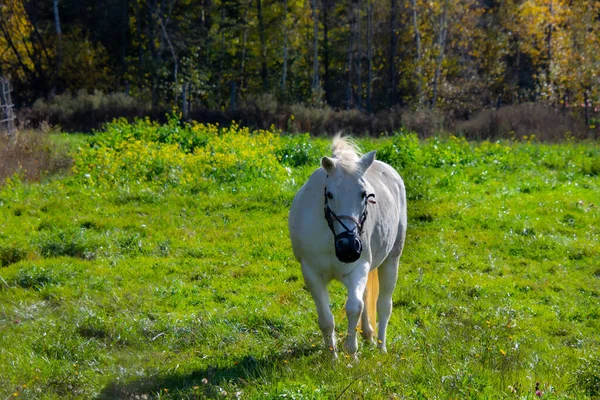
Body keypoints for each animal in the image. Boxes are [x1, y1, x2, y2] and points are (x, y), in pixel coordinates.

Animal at [288, 136, 408, 358]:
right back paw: (368, 335)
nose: (349, 247)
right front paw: (333, 357)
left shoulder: (358, 269)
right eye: (330, 194)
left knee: (383, 305)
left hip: (391, 260)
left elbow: (354, 307)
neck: (332, 237)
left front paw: (352, 353)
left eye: (364, 194)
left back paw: (381, 347)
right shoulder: (311, 273)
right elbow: (326, 319)